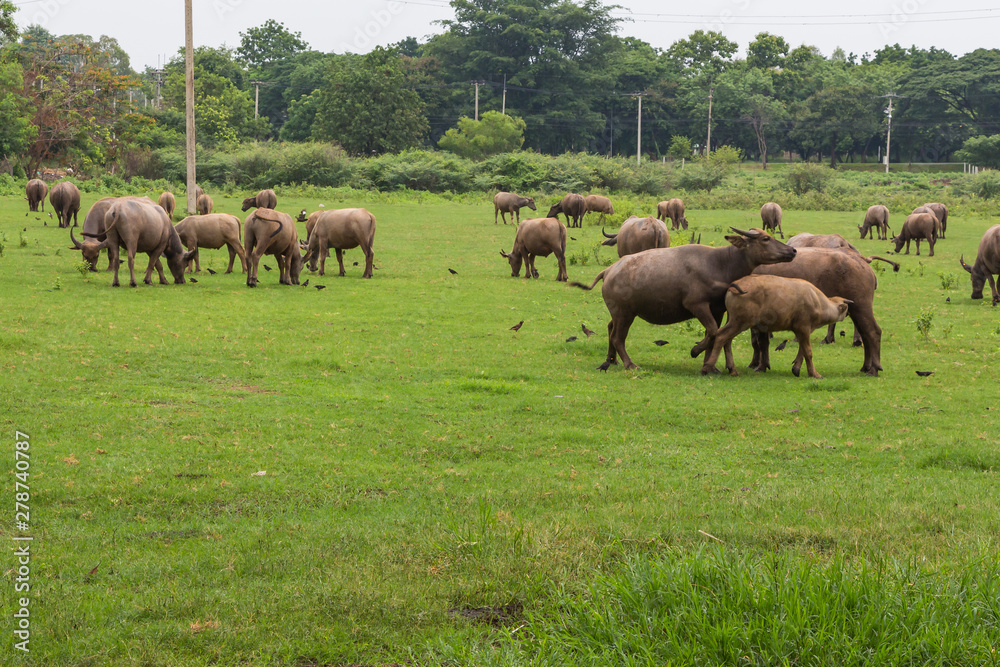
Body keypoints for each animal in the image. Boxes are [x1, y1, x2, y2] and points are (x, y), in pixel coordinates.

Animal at [572, 231, 796, 374]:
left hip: (618, 313)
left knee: (610, 330)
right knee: (618, 337)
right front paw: (695, 351)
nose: (792, 250)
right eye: (766, 238)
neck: (721, 264)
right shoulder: (696, 305)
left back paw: (611, 361)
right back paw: (630, 364)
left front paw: (711, 365)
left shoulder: (718, 309)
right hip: (625, 313)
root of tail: (609, 270)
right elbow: (712, 332)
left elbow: (712, 334)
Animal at [752, 248, 888, 378]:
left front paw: (759, 365)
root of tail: (863, 262)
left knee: (873, 332)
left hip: (861, 307)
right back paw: (866, 367)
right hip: (855, 310)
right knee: (864, 333)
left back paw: (874, 369)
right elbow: (761, 342)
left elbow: (759, 342)